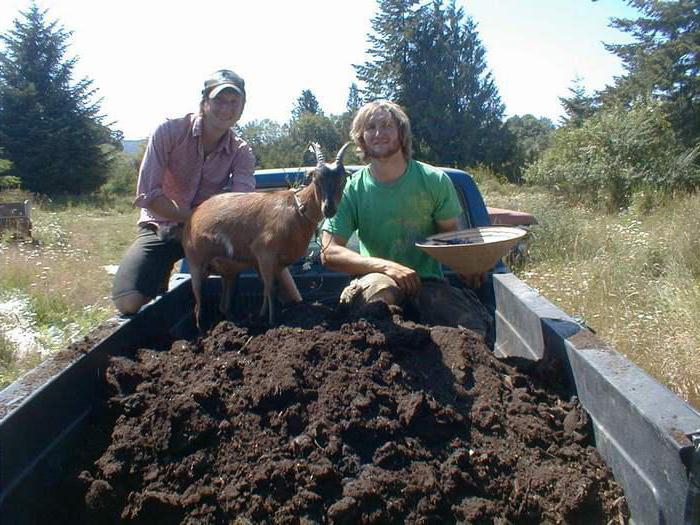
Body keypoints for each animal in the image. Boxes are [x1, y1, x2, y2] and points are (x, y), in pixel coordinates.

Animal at [182, 142, 348, 328]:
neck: (297, 210)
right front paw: (272, 322)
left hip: (227, 271)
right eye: (316, 179)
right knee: (198, 306)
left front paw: (263, 316)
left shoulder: (278, 264)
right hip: (196, 263)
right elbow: (270, 288)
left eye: (343, 179)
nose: (329, 209)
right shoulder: (265, 254)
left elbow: (271, 288)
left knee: (223, 305)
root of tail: (193, 215)